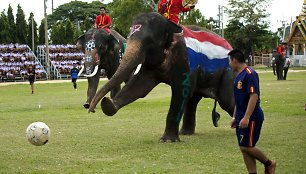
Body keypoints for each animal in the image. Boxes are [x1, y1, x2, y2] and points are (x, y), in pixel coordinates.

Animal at [88, 12, 234, 142]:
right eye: (128, 37)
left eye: (150, 41)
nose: (91, 109)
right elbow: (139, 88)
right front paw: (108, 105)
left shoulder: (184, 59)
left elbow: (181, 91)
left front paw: (167, 140)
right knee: (193, 100)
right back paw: (186, 133)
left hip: (227, 74)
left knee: (226, 101)